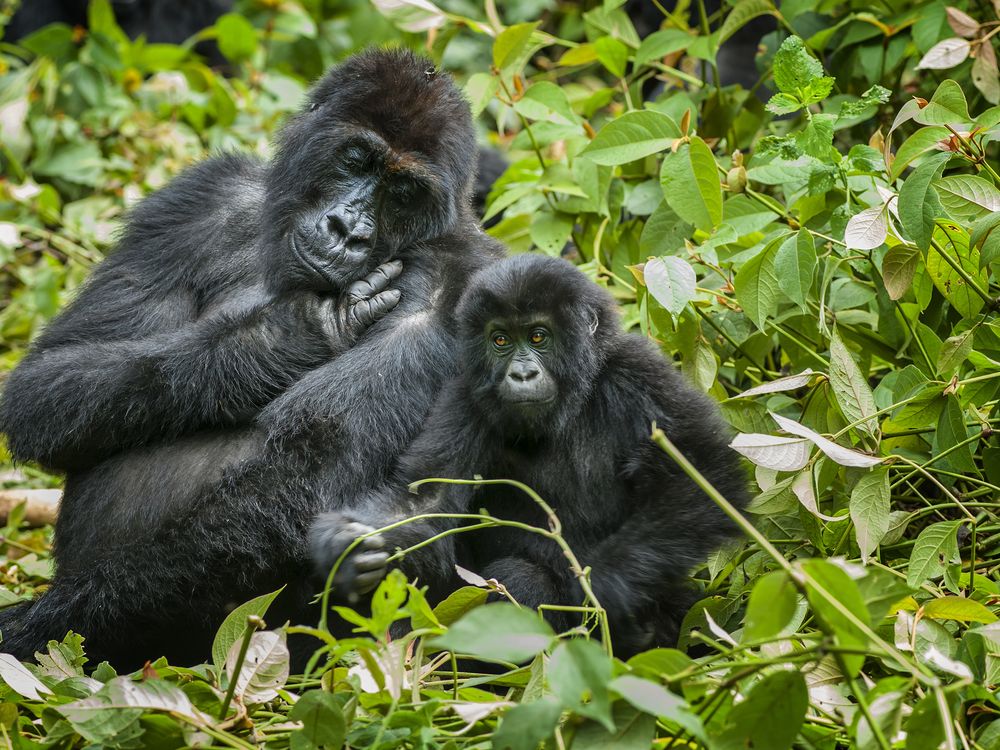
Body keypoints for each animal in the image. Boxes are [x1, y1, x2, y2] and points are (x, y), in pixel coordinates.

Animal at [0, 48, 504, 668]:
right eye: (356, 159)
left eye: (405, 192)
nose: (348, 230)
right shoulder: (199, 197)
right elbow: (44, 384)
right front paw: (281, 339)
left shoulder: (462, 283)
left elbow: (307, 475)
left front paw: (36, 628)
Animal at [316, 256, 748, 656]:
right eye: (500, 340)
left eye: (539, 336)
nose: (522, 374)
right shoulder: (466, 397)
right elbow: (424, 501)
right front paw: (344, 545)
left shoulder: (638, 373)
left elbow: (701, 476)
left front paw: (608, 586)